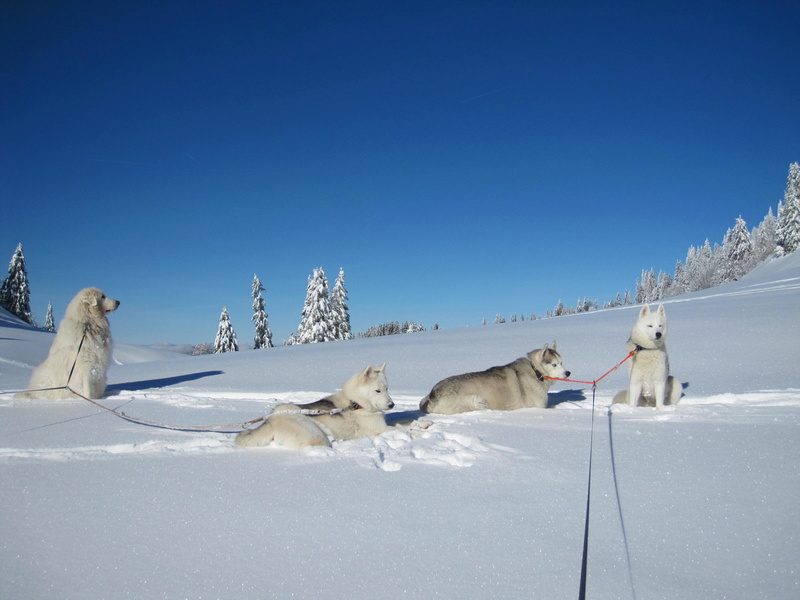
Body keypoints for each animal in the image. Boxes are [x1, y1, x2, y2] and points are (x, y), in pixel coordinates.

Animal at [233, 360, 396, 450]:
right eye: (378, 390)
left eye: (387, 389)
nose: (392, 405)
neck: (356, 403)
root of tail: (272, 419)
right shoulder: (380, 429)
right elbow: (400, 429)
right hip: (317, 435)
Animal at [418, 344, 568, 414]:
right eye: (554, 364)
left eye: (561, 362)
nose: (568, 373)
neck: (535, 371)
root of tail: (432, 395)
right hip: (478, 400)